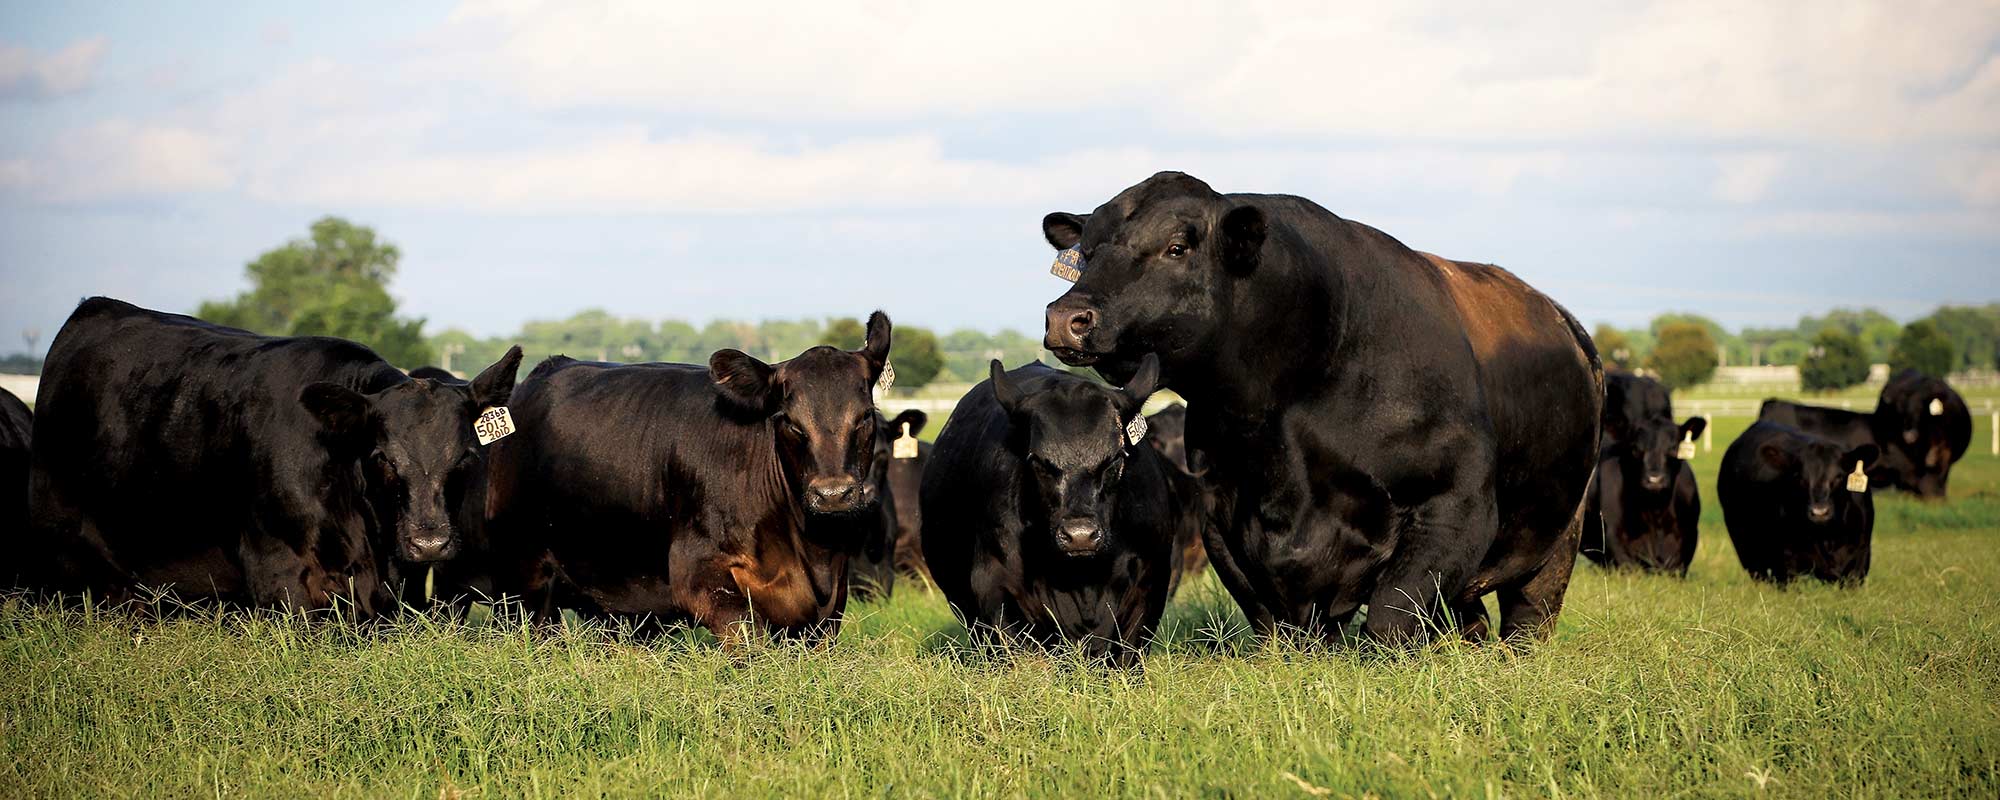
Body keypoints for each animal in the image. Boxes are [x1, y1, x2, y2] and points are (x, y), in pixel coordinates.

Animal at [485, 313, 894, 647]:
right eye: (791, 422)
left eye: (864, 416)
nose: (833, 493)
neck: (811, 550)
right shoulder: (695, 573)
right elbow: (750, 639)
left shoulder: (828, 608)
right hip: (521, 579)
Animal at [921, 356, 1185, 665]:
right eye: (1037, 460)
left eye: (1116, 458)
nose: (1080, 535)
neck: (1084, 585)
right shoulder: (996, 587)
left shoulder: (1149, 585)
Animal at [1581, 373, 1706, 575]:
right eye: (1635, 449)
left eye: (1674, 448)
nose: (1654, 479)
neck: (1655, 512)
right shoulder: (1615, 538)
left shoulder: (1688, 538)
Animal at [1718, 421, 1876, 587]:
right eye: (1800, 478)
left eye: (1839, 476)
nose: (1819, 512)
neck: (1828, 536)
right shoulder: (1787, 561)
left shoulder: (1861, 557)